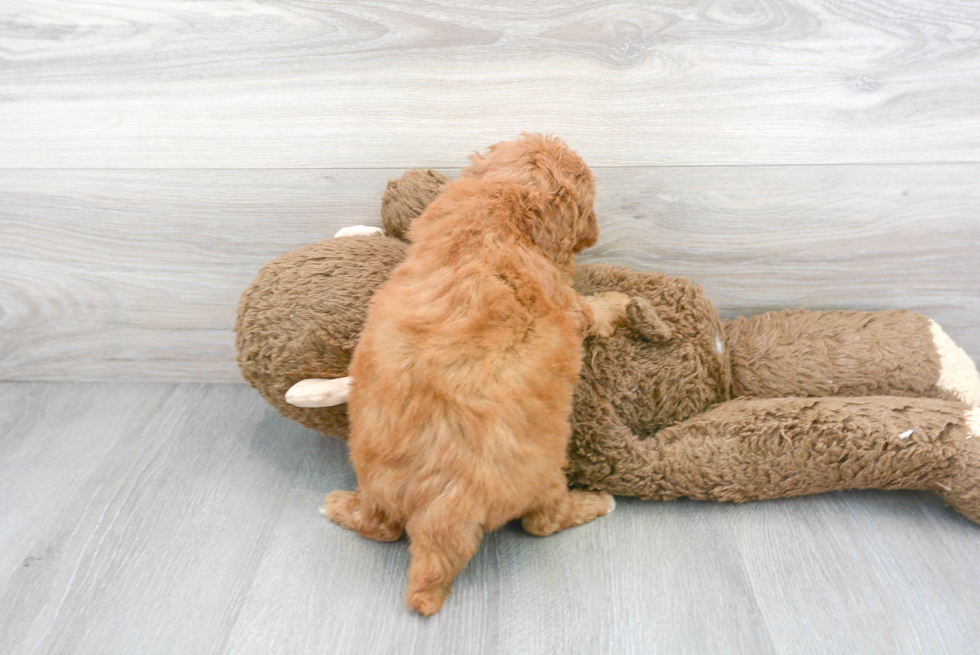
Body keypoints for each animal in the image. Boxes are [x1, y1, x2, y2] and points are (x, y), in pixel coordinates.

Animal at [322, 133, 628, 616]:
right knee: (543, 522)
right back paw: (594, 503)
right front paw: (620, 302)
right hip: (544, 476)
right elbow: (593, 310)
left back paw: (337, 505)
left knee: (381, 527)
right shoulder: (569, 303)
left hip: (375, 481)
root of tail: (441, 513)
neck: (499, 206)